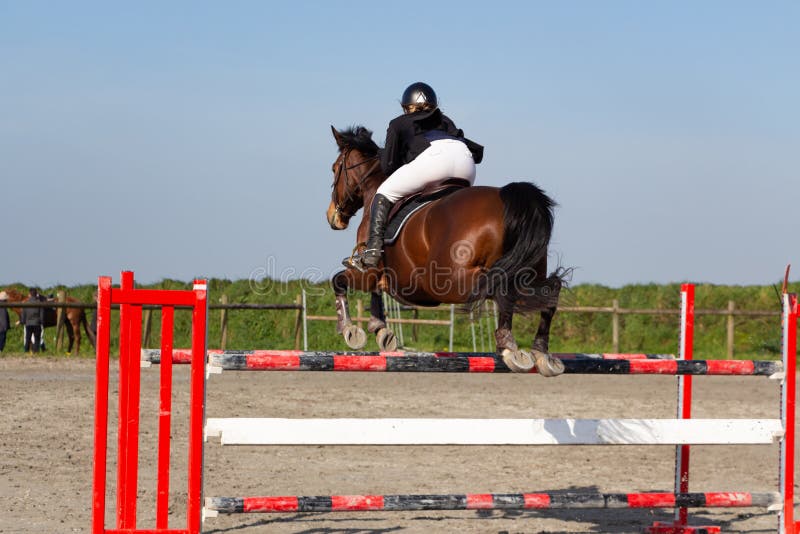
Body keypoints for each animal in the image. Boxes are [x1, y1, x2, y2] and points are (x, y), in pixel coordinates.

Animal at [328, 125, 564, 376]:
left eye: (335, 168)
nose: (332, 216)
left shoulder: (369, 271)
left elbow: (339, 280)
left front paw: (351, 330)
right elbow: (374, 292)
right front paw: (381, 330)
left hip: (448, 282)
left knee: (504, 288)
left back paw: (509, 346)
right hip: (527, 269)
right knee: (550, 290)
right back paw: (539, 353)